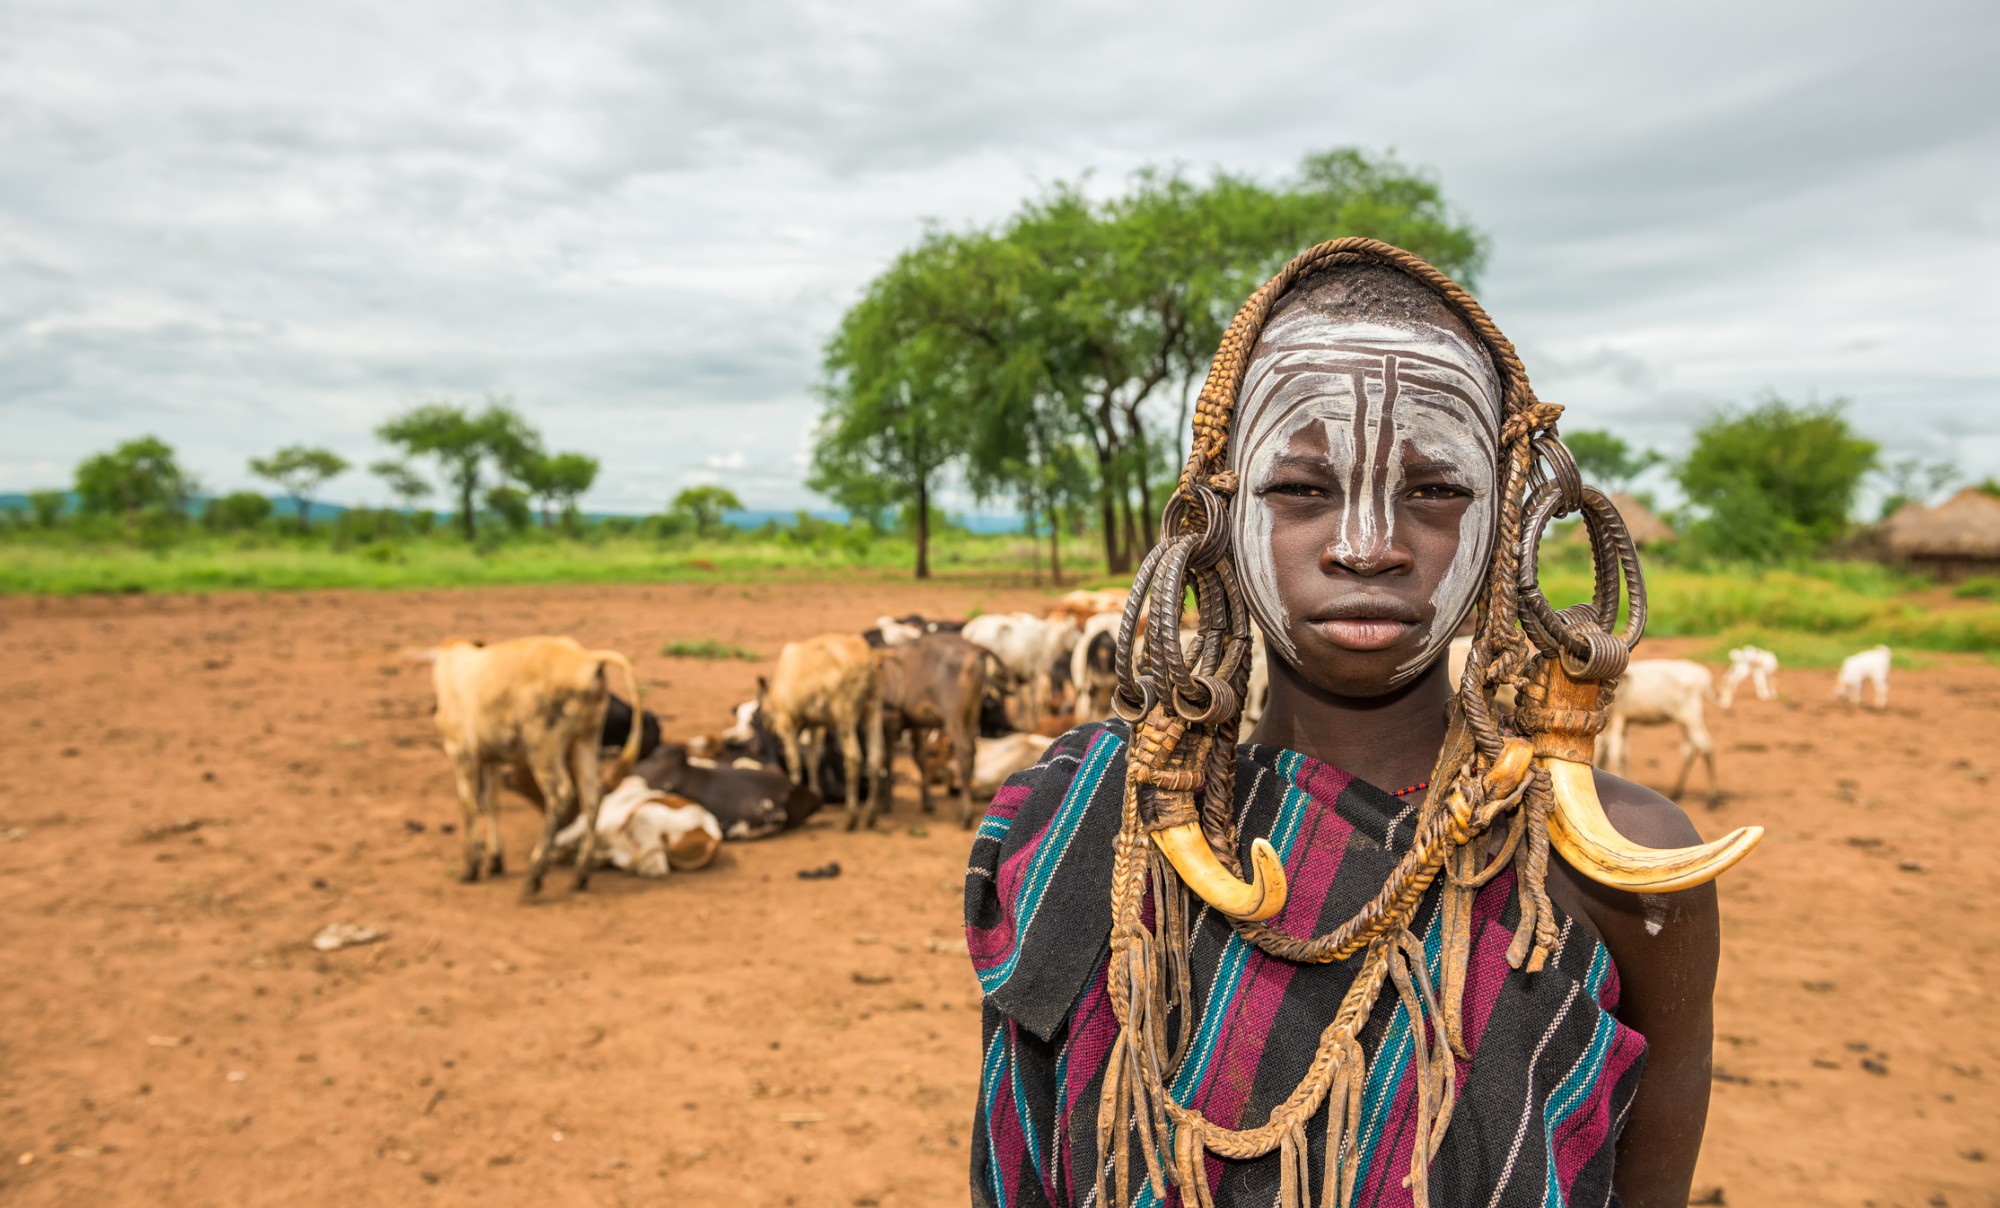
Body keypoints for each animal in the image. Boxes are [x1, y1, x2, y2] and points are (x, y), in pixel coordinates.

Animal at [432, 636, 644, 892]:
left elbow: (469, 805)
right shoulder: (492, 757)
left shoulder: (460, 751)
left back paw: (536, 874)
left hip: (543, 747)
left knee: (560, 795)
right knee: (592, 795)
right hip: (586, 738)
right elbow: (492, 802)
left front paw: (470, 869)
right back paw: (580, 874)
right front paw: (495, 861)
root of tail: (587, 659)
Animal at [756, 632, 884, 832]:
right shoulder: (815, 724)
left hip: (844, 716)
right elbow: (812, 759)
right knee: (875, 759)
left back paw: (849, 818)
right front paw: (815, 796)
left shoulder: (787, 722)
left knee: (854, 758)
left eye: (761, 705)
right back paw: (870, 816)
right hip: (873, 709)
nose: (767, 725)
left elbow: (794, 761)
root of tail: (868, 656)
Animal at [884, 636, 992, 824]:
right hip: (972, 712)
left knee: (964, 750)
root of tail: (973, 649)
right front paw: (927, 800)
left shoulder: (890, 721)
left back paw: (965, 813)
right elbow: (919, 756)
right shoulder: (915, 724)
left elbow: (886, 758)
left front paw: (886, 801)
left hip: (953, 715)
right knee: (973, 750)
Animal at [1592, 660, 1720, 804]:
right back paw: (1677, 792)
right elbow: (1620, 755)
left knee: (1706, 747)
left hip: (1691, 715)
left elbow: (1616, 756)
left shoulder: (1618, 719)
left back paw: (1712, 798)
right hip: (1686, 721)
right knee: (1690, 750)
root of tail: (1704, 676)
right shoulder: (1623, 723)